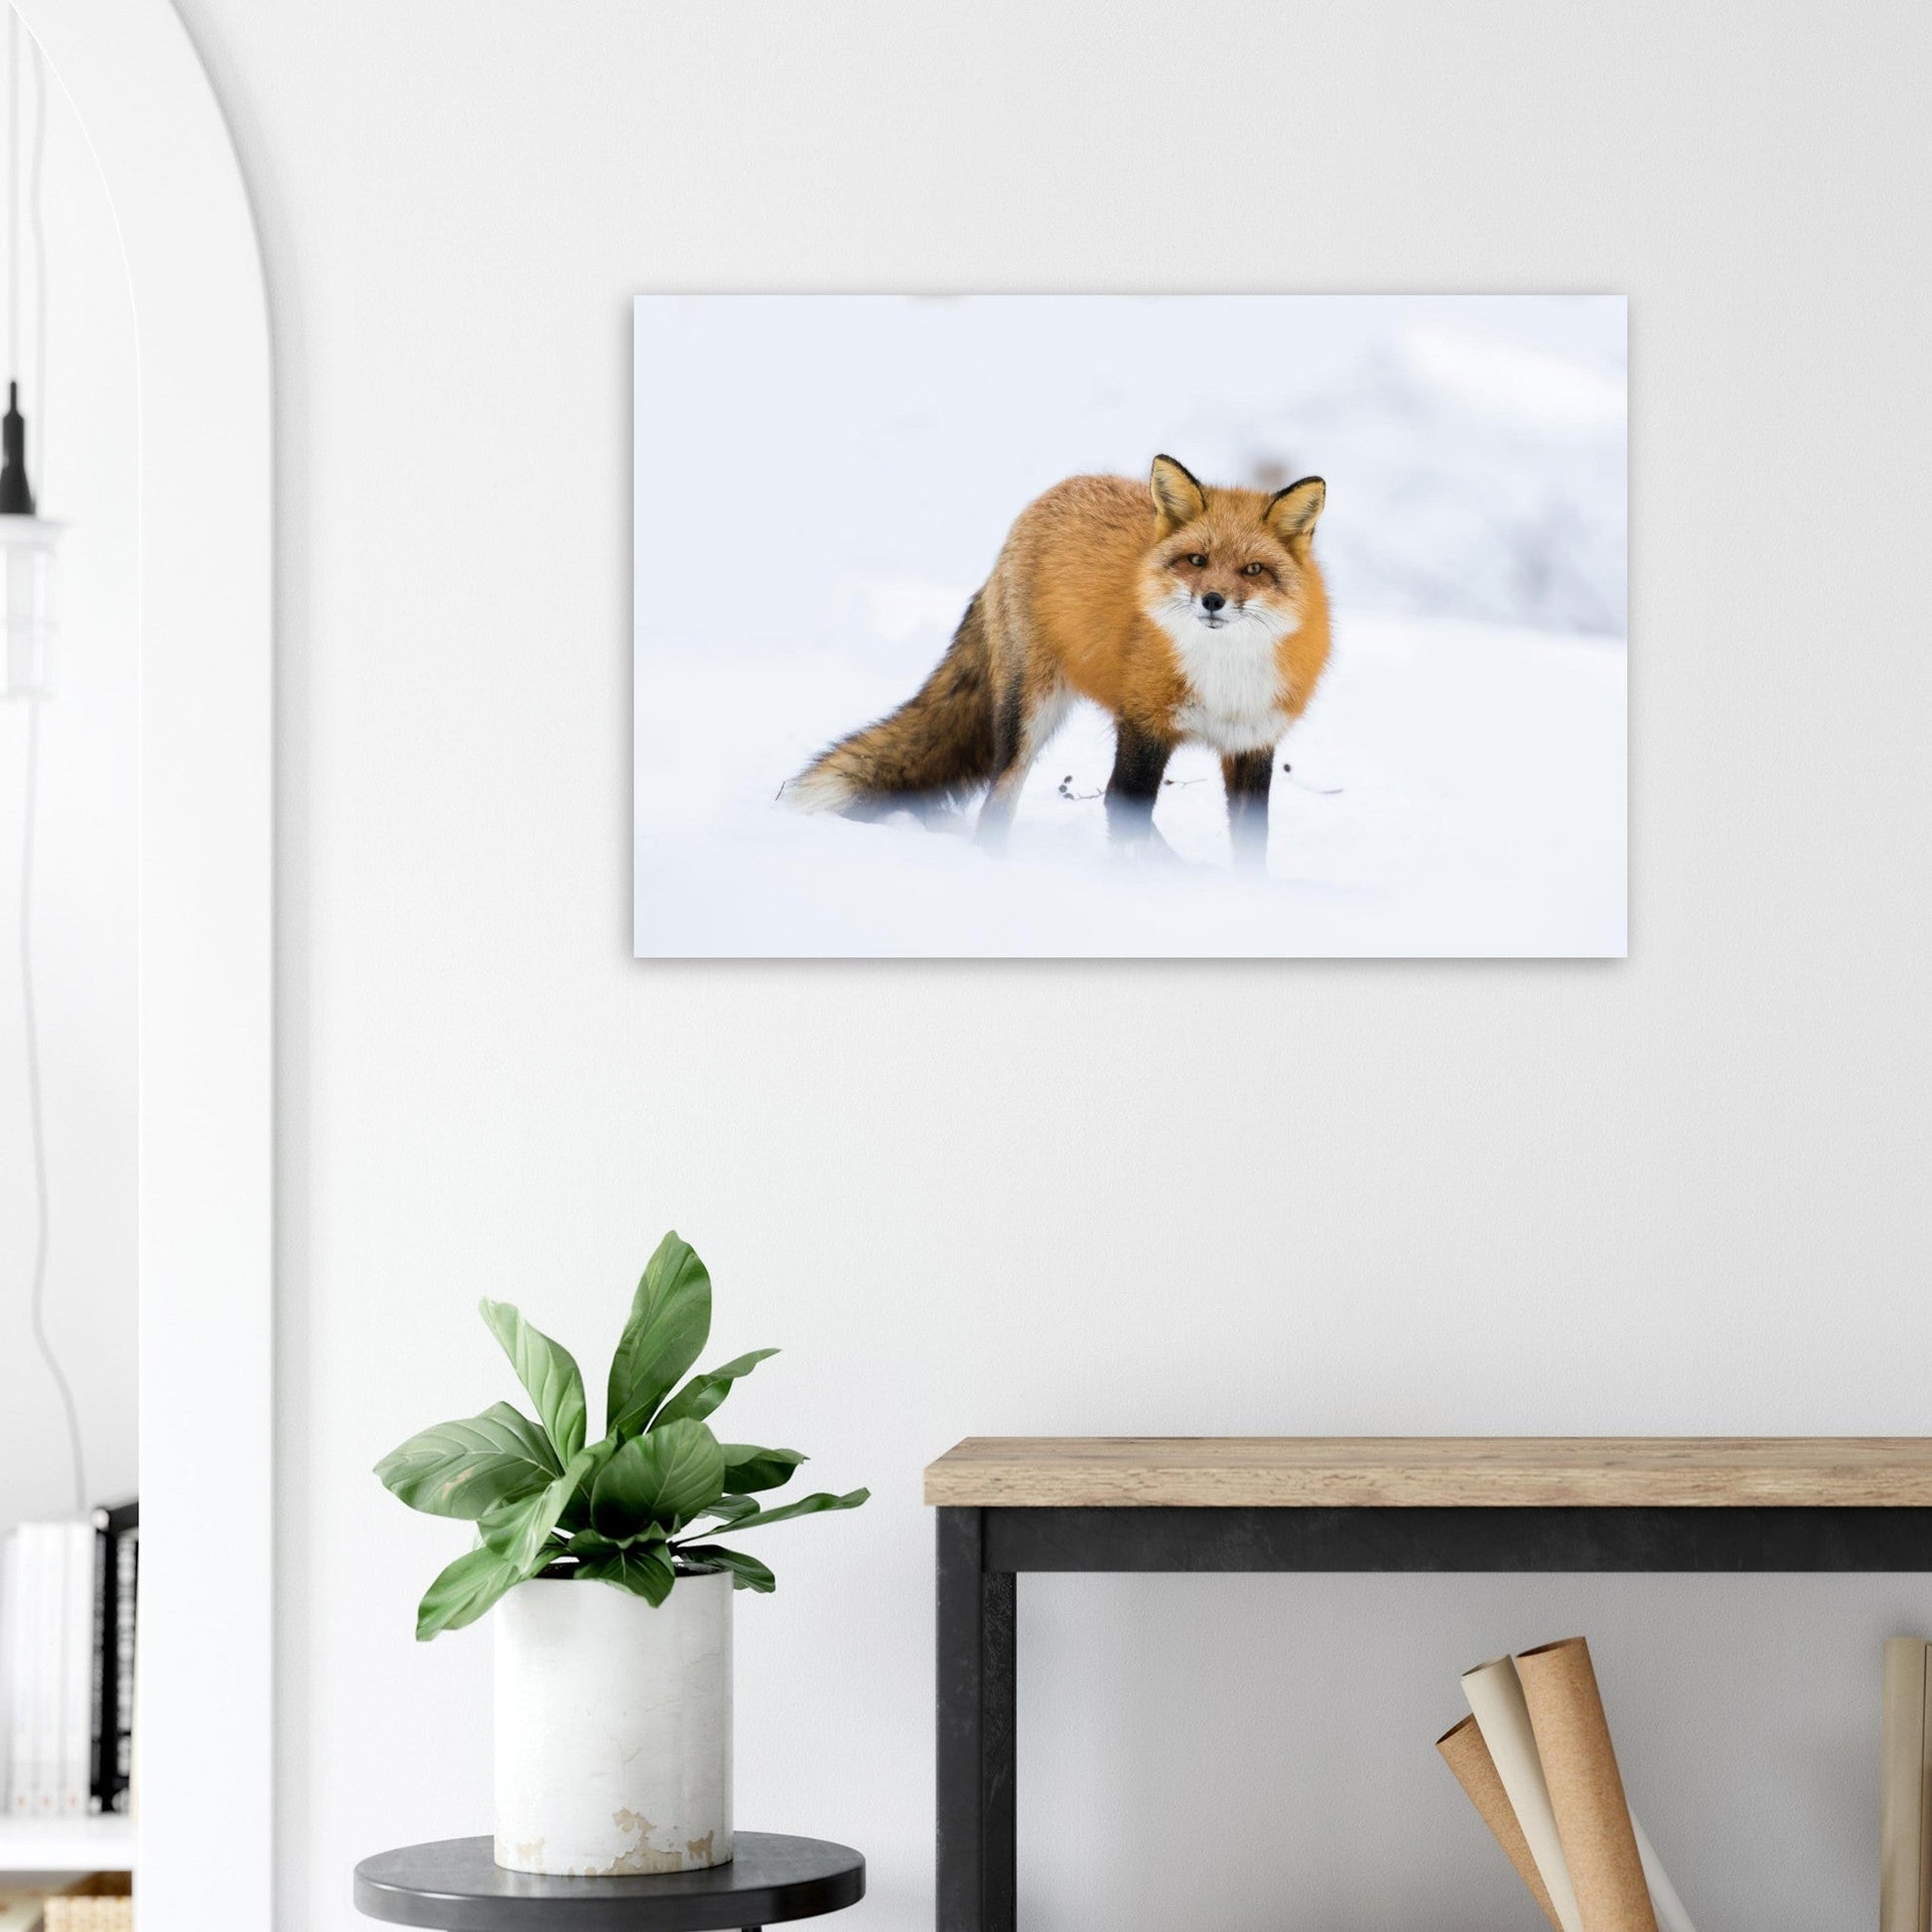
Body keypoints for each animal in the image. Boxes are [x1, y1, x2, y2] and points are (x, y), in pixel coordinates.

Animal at [785, 454, 1329, 868]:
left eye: (1253, 570)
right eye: (1197, 560)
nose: (1212, 600)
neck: (1225, 677)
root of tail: (1049, 495)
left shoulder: (1252, 742)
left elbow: (1250, 847)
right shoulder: (1143, 727)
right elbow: (1123, 810)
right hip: (1029, 714)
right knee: (999, 801)